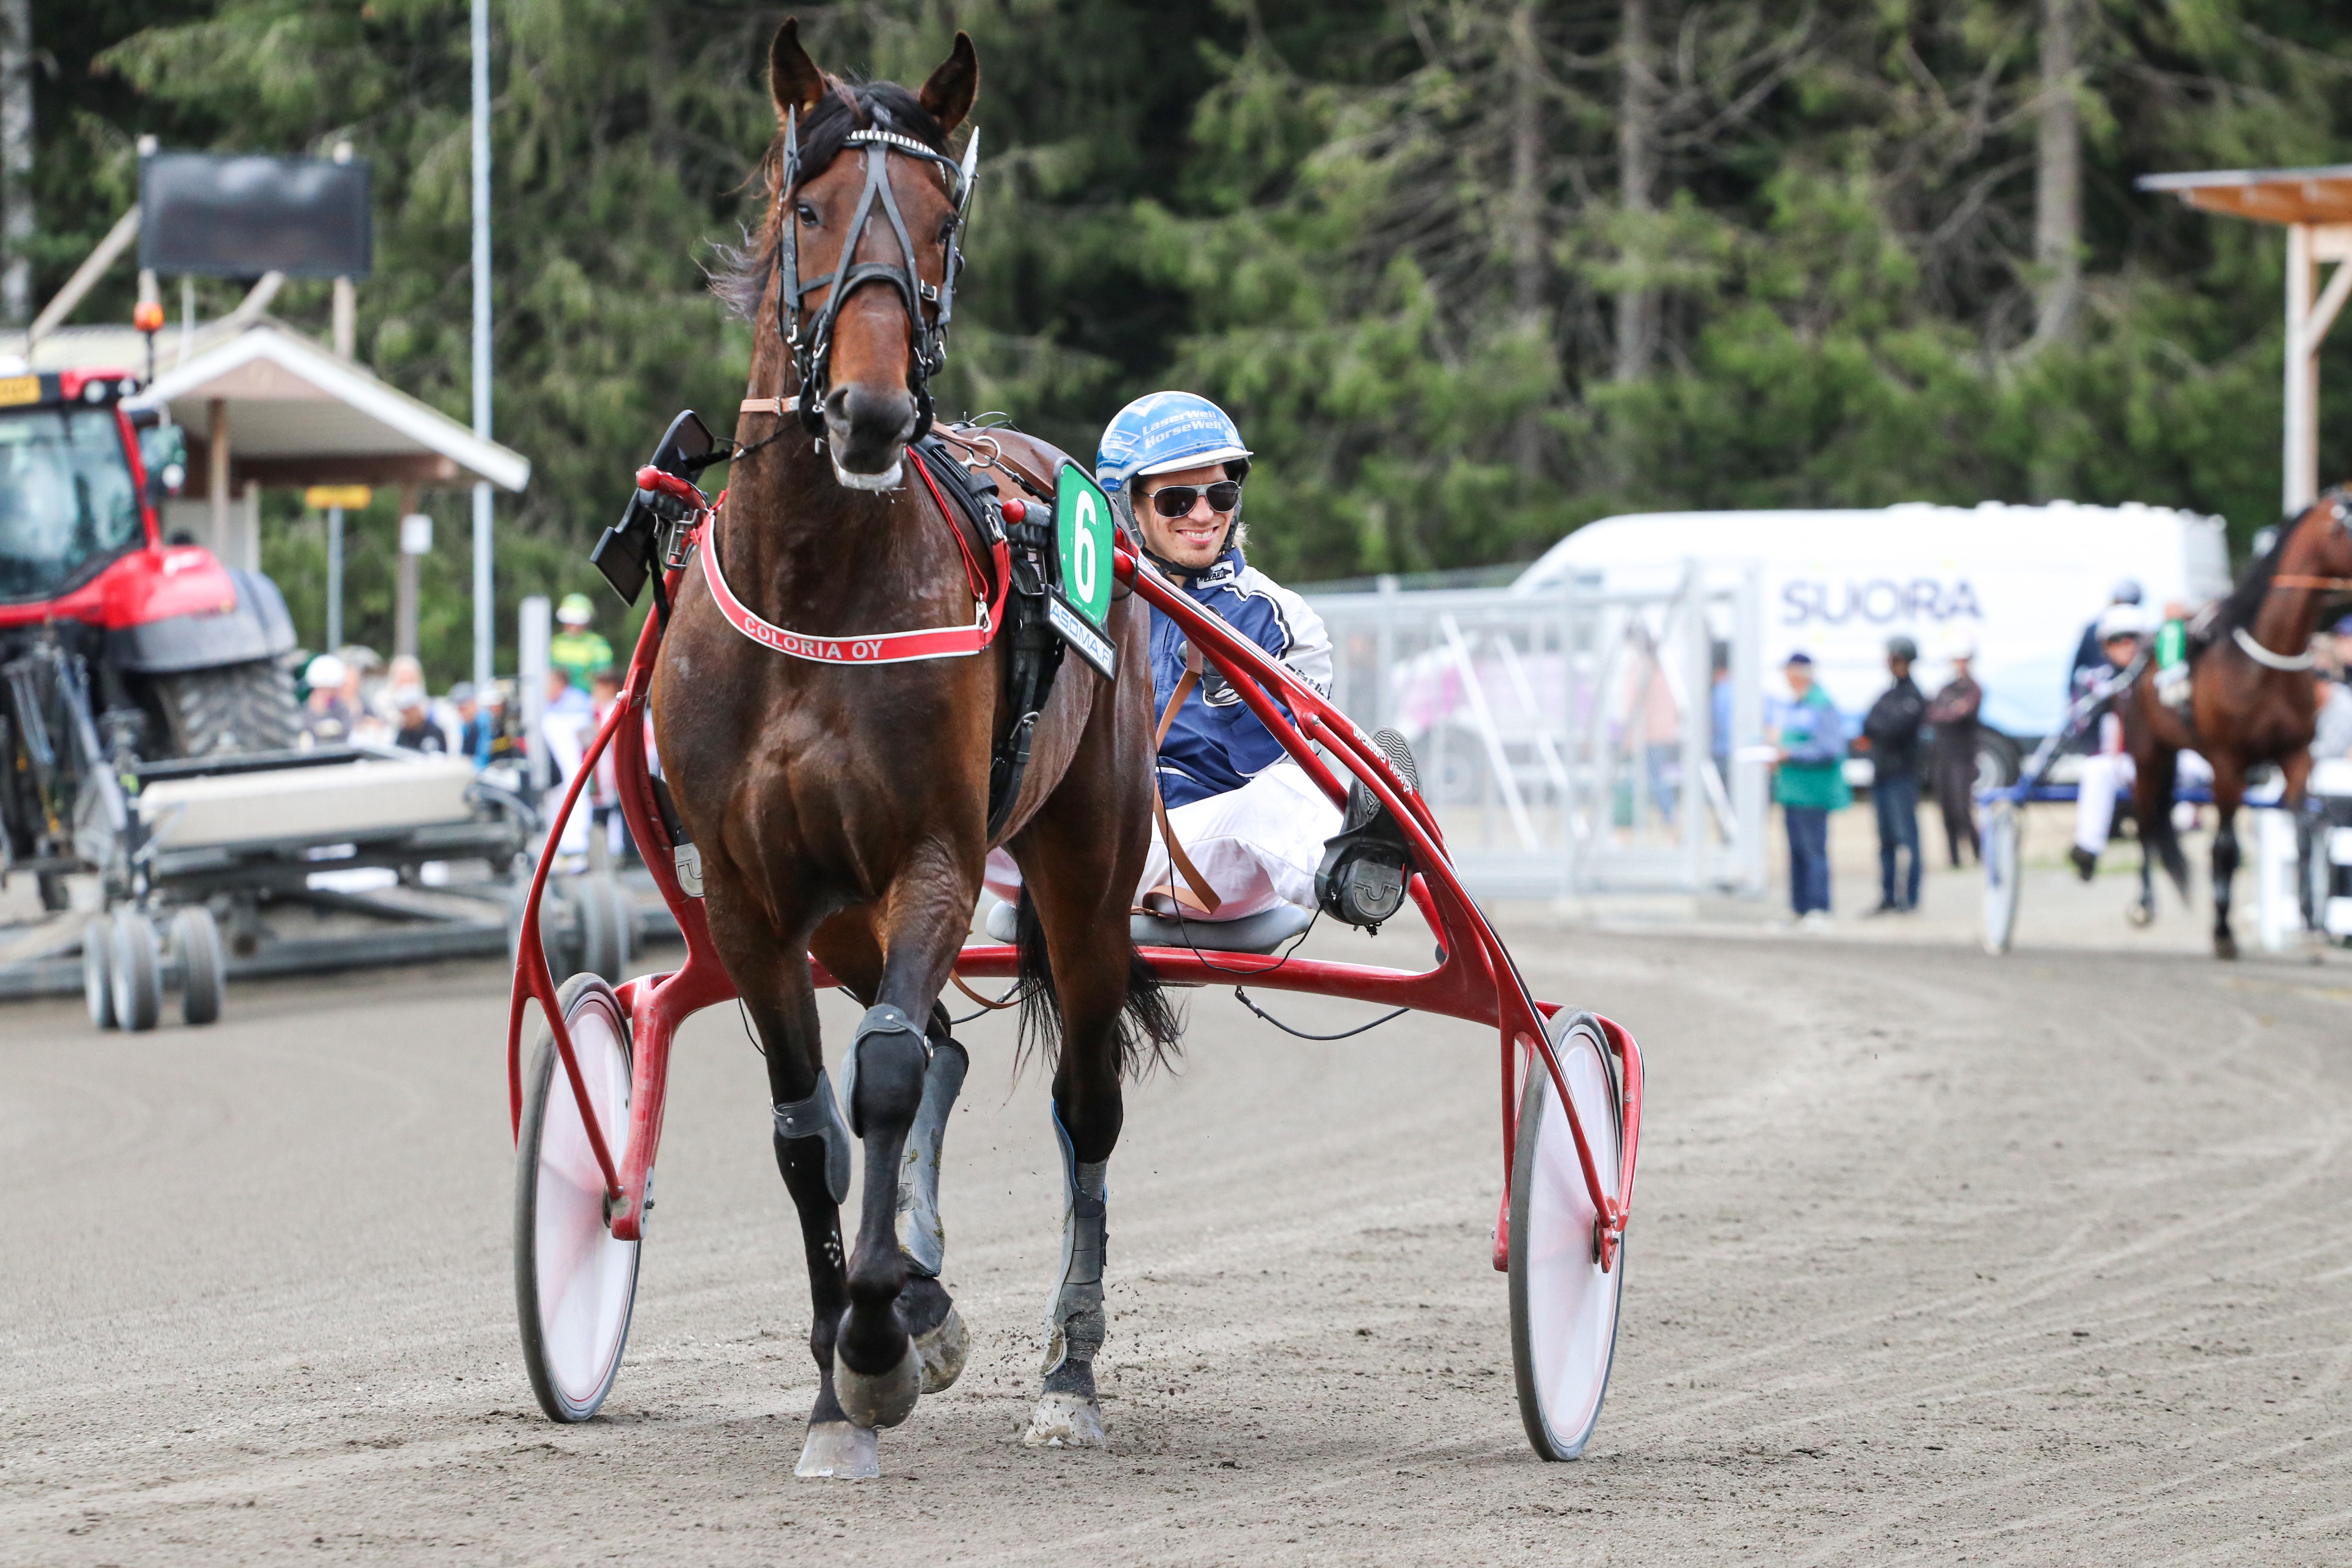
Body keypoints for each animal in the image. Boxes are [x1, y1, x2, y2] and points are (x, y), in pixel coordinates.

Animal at [654, 18, 1176, 1476]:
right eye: (810, 210)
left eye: (944, 224)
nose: (875, 412)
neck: (818, 587)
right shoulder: (748, 894)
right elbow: (807, 1128)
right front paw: (849, 1371)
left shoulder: (932, 857)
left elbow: (879, 1077)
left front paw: (877, 1347)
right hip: (839, 914)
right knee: (931, 1039)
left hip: (1082, 869)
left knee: (1081, 1100)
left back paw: (1066, 1369)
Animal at [2126, 491, 2352, 959]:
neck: (2266, 666)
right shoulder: (2228, 761)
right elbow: (2225, 847)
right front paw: (2223, 931)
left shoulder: (2296, 755)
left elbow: (2303, 837)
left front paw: (2311, 924)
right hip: (2146, 752)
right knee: (2144, 821)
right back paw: (2143, 904)